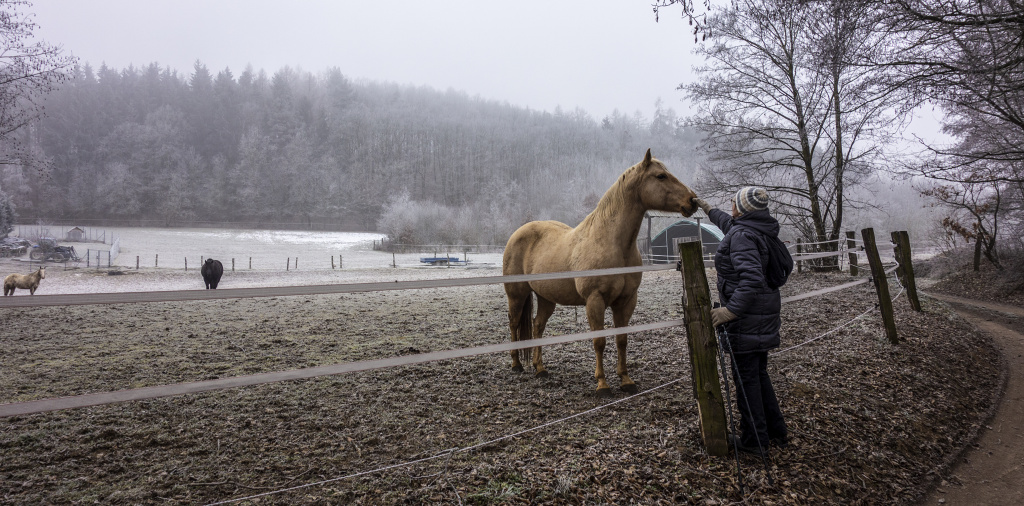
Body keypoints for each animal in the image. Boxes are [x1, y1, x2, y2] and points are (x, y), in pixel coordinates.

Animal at [501, 149, 696, 395]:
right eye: (661, 176)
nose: (693, 201)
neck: (611, 242)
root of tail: (517, 233)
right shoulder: (595, 300)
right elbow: (599, 341)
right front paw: (602, 384)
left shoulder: (626, 301)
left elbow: (621, 339)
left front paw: (626, 380)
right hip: (517, 295)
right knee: (514, 323)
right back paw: (516, 364)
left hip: (546, 298)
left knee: (537, 326)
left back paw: (540, 368)